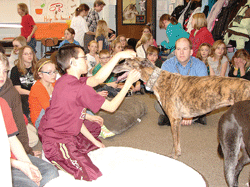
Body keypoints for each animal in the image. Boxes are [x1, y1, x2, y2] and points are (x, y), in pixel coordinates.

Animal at [114, 57, 250, 159]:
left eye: (126, 62)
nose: (114, 67)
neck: (157, 79)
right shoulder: (177, 120)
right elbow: (176, 141)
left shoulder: (174, 119)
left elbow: (175, 140)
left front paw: (174, 156)